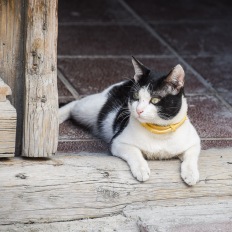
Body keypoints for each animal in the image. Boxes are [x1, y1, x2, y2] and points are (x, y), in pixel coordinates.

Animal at [59, 58, 201, 187]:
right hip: (87, 109)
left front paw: (191, 174)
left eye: (155, 100)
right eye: (136, 96)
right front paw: (141, 169)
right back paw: (58, 115)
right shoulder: (118, 142)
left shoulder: (195, 141)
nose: (138, 110)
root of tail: (128, 80)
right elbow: (134, 152)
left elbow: (191, 156)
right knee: (75, 103)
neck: (159, 131)